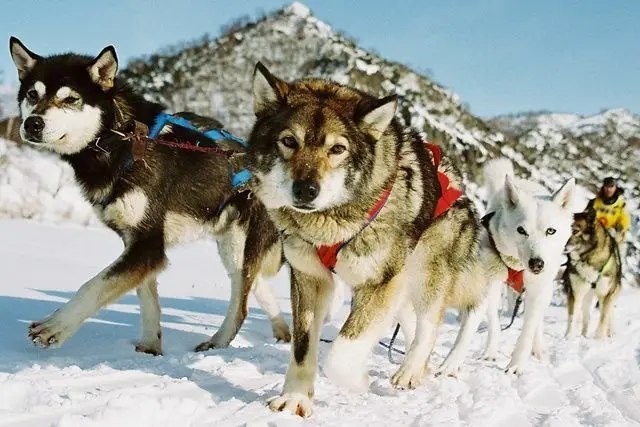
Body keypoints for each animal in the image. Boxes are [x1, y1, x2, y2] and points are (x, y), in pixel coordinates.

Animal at [9, 37, 290, 355]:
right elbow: (146, 296)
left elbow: (94, 285)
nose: (32, 123)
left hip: (240, 245)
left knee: (241, 304)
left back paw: (217, 344)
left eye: (70, 99)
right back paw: (282, 332)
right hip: (233, 248)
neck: (121, 141)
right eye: (32, 94)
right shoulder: (137, 241)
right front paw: (149, 346)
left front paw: (55, 326)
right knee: (255, 287)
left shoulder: (147, 245)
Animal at [245, 63, 489, 417]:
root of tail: (463, 191)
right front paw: (295, 398)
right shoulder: (309, 278)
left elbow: (341, 353)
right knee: (413, 323)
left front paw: (356, 380)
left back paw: (411, 370)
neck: (332, 220)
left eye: (337, 148)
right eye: (288, 141)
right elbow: (303, 347)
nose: (306, 190)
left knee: (433, 322)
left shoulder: (379, 283)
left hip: (425, 269)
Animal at [563, 205, 622, 339]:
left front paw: (598, 339)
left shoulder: (606, 294)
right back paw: (583, 336)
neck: (588, 257)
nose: (563, 247)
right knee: (586, 318)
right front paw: (568, 337)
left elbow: (604, 319)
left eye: (575, 231)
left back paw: (610, 333)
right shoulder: (575, 292)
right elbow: (572, 317)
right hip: (586, 296)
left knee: (609, 315)